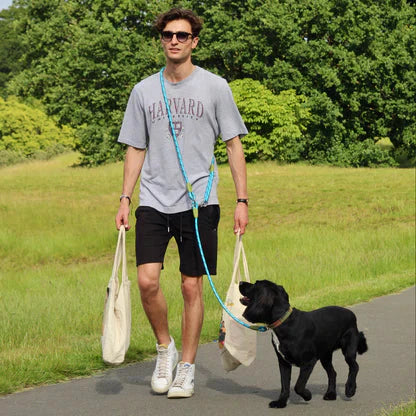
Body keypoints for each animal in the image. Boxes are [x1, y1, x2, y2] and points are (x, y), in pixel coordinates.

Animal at [239, 280, 368, 410]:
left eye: (255, 284)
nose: (240, 282)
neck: (285, 322)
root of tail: (351, 314)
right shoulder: (283, 362)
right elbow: (284, 385)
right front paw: (281, 403)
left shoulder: (309, 361)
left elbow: (298, 385)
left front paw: (307, 395)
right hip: (325, 356)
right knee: (333, 373)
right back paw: (331, 394)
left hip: (348, 349)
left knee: (354, 366)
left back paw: (350, 389)